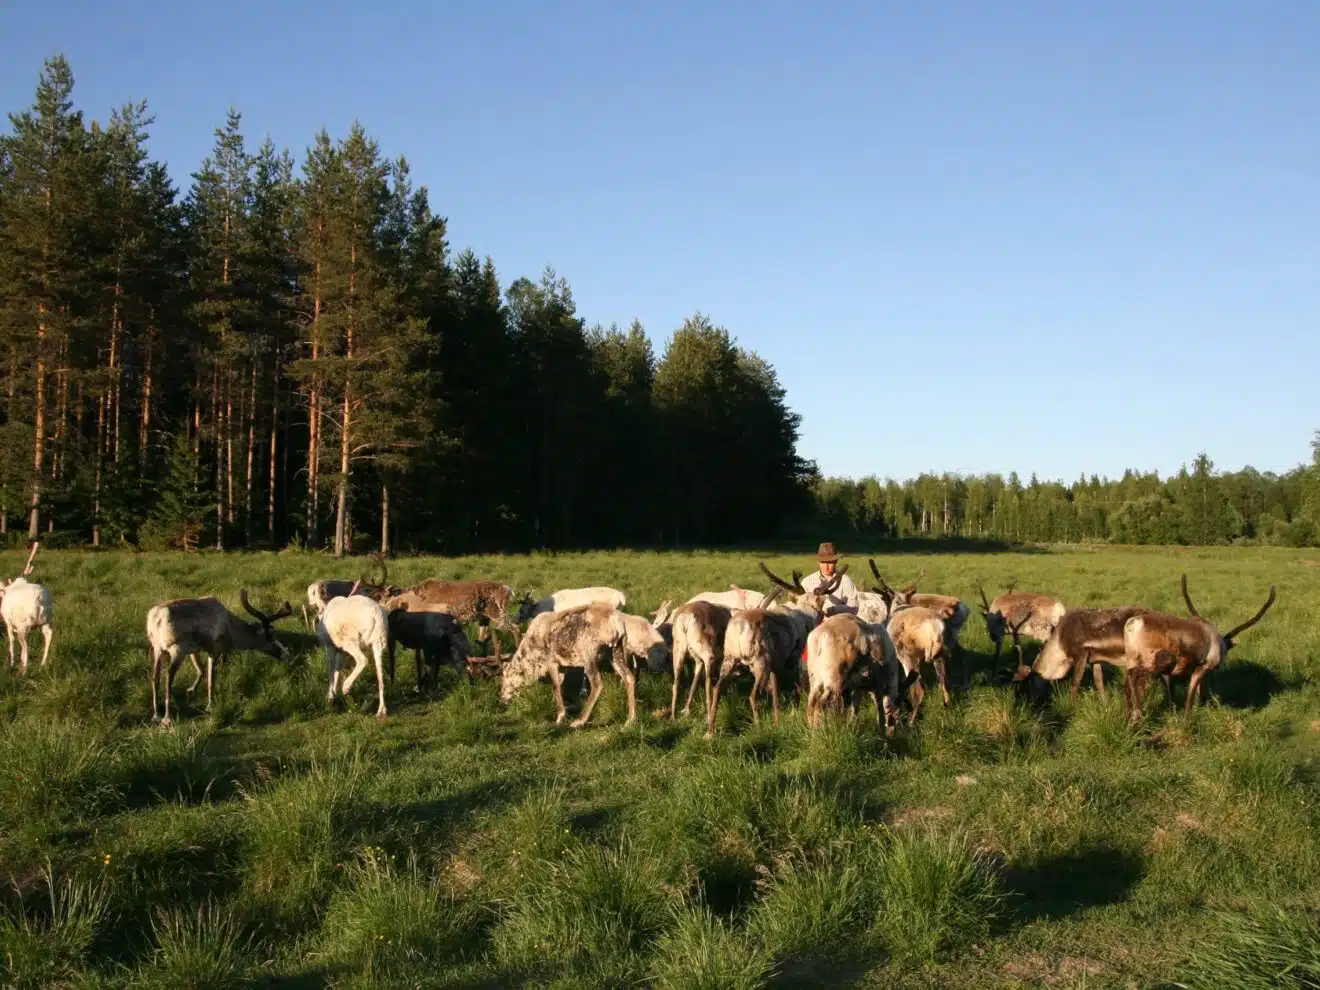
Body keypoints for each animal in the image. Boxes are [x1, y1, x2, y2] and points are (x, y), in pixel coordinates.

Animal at [0, 542, 53, 673]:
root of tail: (39, 599)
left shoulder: (8, 622)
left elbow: (11, 639)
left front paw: (12, 662)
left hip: (23, 623)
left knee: (25, 644)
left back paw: (23, 668)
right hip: (48, 619)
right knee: (49, 635)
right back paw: (42, 664)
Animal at [146, 590, 295, 726]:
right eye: (270, 636)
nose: (286, 653)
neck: (231, 628)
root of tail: (156, 619)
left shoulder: (194, 650)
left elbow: (201, 671)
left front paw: (191, 691)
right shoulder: (213, 650)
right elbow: (211, 679)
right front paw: (210, 706)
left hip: (157, 649)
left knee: (155, 678)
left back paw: (155, 715)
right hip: (176, 650)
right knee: (168, 677)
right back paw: (167, 718)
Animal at [1119, 575, 1277, 725]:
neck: (1220, 644)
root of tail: (1132, 624)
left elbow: (1185, 693)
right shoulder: (1203, 666)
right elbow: (1190, 696)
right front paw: (1187, 720)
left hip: (1132, 659)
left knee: (1126, 684)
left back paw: (1127, 717)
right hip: (1159, 660)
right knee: (1133, 675)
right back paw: (1137, 716)